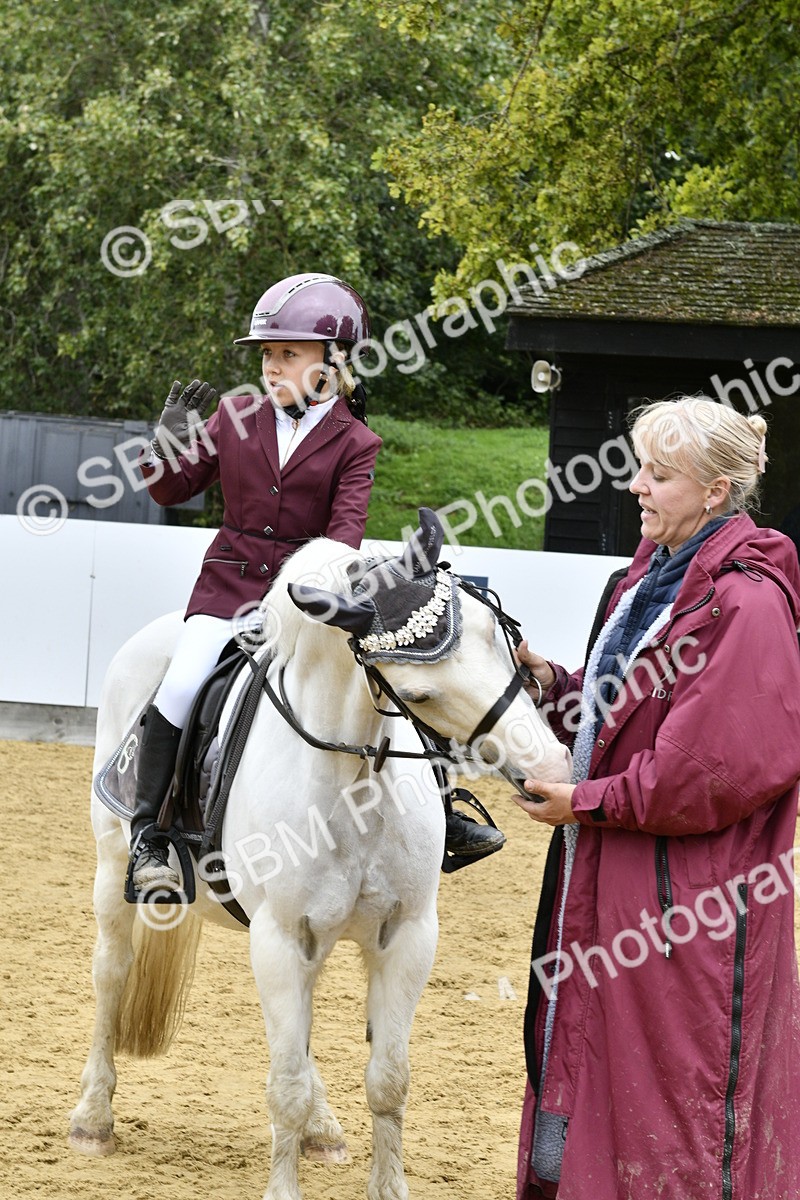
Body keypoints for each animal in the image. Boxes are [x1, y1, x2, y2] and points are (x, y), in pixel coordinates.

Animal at [68, 508, 571, 1200]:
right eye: (419, 694)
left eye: (499, 632)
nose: (551, 772)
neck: (354, 782)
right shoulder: (280, 939)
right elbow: (283, 1088)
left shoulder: (407, 936)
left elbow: (388, 1080)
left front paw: (385, 1184)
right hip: (113, 873)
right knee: (111, 972)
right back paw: (93, 1116)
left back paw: (323, 1126)